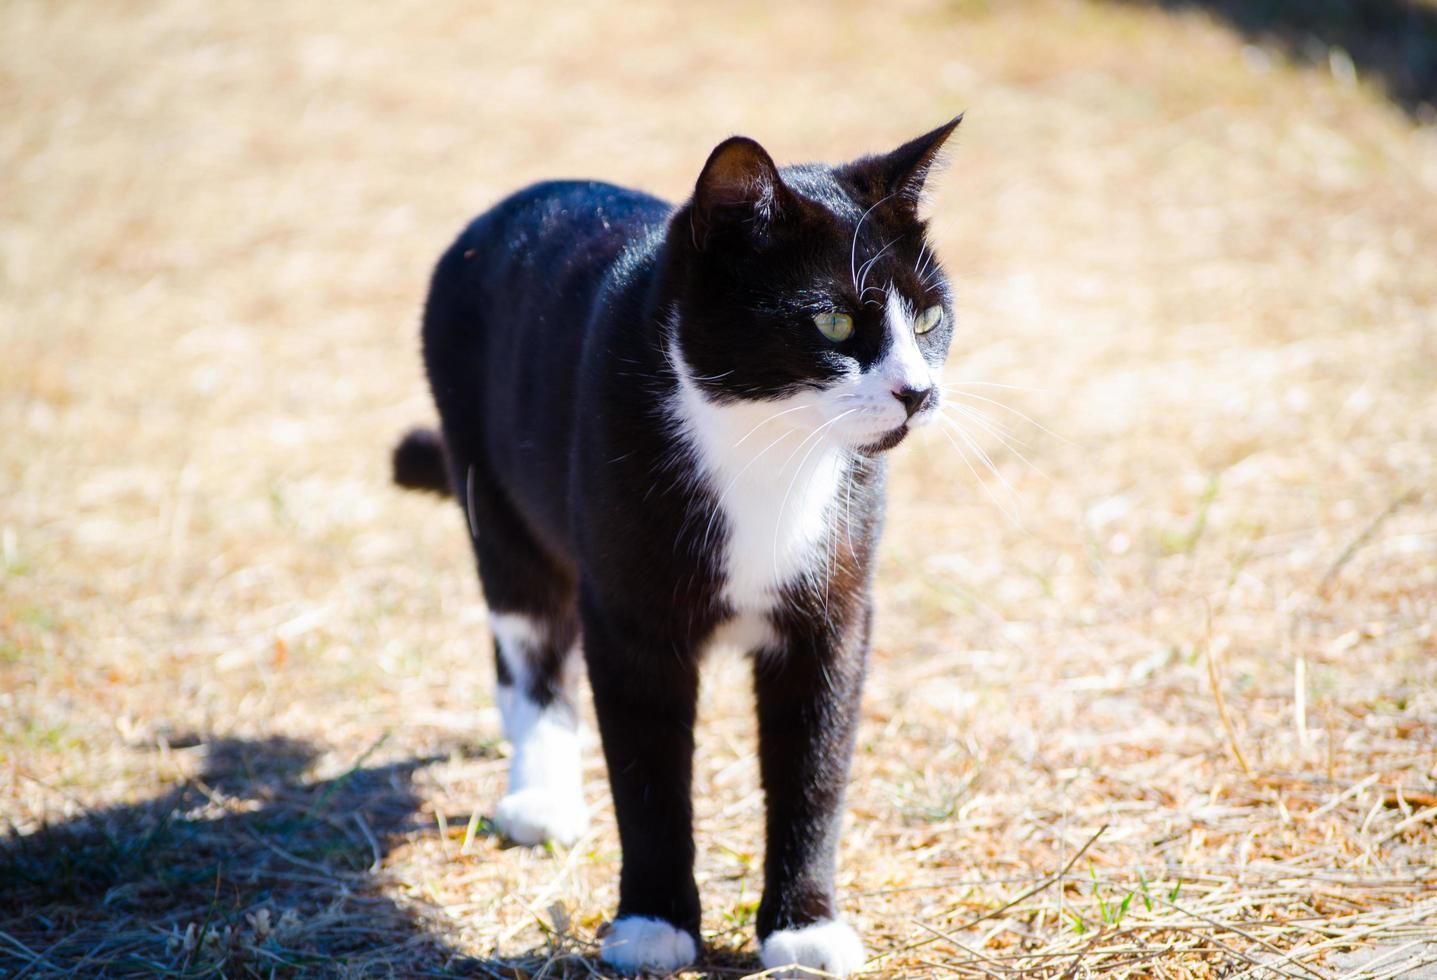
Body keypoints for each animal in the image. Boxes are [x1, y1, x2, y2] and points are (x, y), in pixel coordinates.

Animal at [390, 118, 965, 971]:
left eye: (927, 320)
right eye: (831, 320)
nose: (917, 391)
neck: (767, 450)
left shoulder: (834, 611)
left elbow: (815, 767)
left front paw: (803, 927)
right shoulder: (630, 619)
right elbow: (647, 771)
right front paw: (652, 925)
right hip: (491, 487)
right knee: (528, 639)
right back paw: (540, 794)